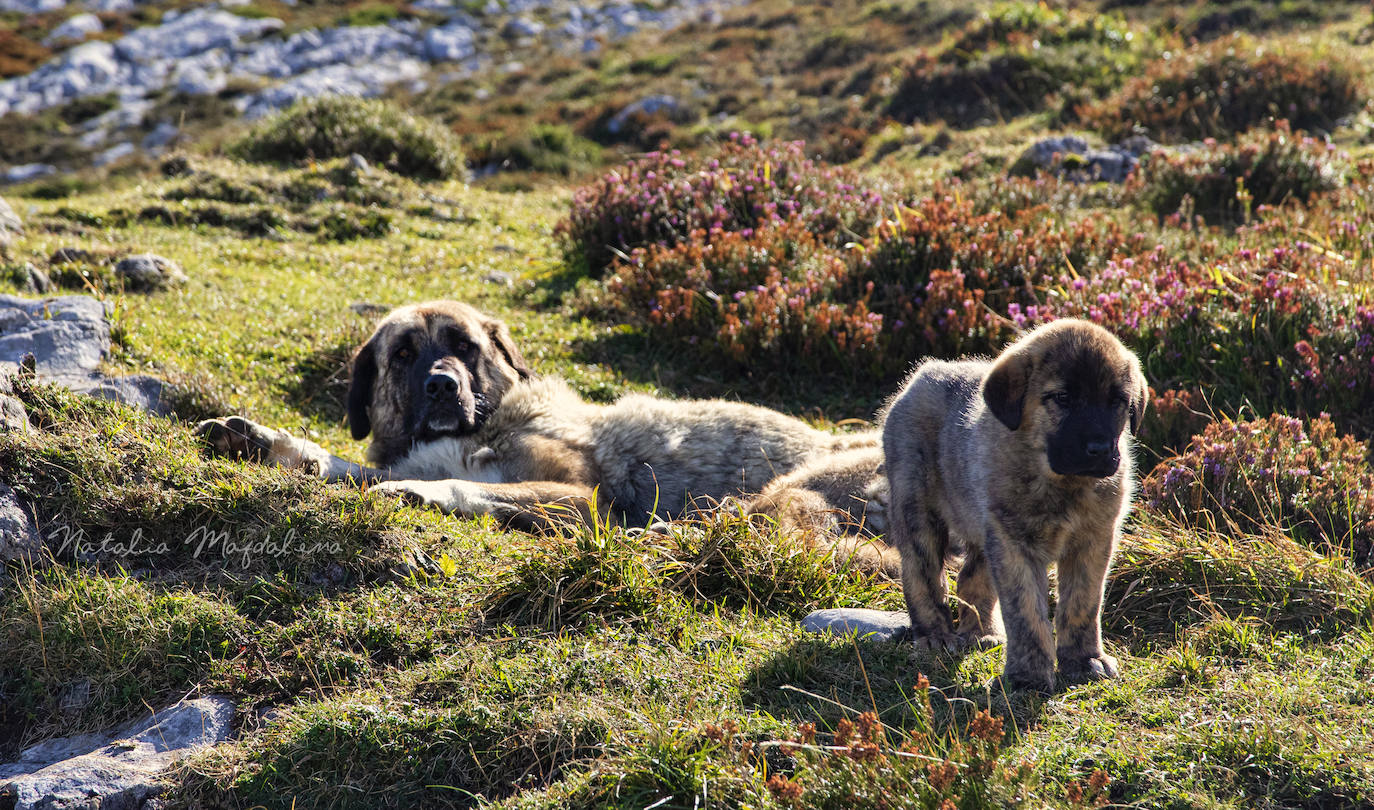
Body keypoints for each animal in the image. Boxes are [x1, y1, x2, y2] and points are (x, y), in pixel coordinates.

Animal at [196, 302, 890, 562]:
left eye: (464, 346)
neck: (484, 423)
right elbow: (342, 465)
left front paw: (417, 493)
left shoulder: (583, 498)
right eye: (404, 354)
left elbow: (472, 487)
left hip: (802, 486)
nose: (441, 386)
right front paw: (258, 440)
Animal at [879, 321, 1148, 694]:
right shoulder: (1013, 544)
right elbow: (1026, 612)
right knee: (923, 574)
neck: (1060, 482)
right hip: (917, 509)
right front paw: (1028, 677)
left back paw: (982, 633)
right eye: (1063, 398)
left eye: (1118, 401)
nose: (1099, 449)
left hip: (982, 527)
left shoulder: (1093, 539)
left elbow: (1083, 603)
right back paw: (934, 635)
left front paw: (1083, 660)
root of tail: (923, 374)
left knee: (970, 576)